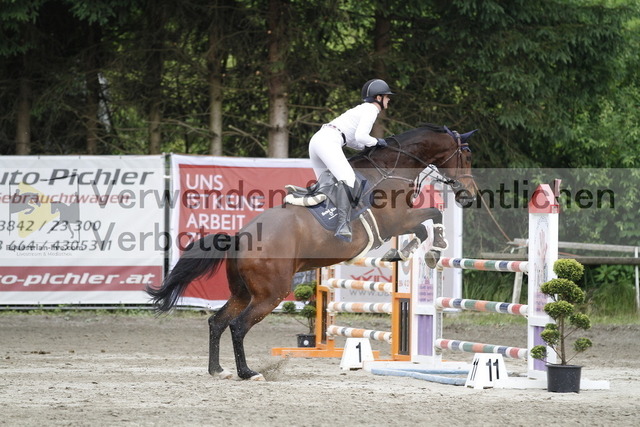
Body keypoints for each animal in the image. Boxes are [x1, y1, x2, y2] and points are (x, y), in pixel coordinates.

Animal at [147, 124, 477, 380]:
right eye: (467, 155)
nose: (469, 196)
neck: (391, 171)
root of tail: (240, 238)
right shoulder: (395, 222)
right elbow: (430, 217)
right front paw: (428, 249)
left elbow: (426, 222)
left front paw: (409, 252)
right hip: (270, 294)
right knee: (238, 326)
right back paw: (248, 373)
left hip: (242, 291)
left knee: (217, 322)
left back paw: (218, 370)